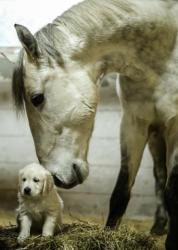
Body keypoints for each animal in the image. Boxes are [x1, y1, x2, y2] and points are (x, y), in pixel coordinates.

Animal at [12, 0, 178, 249]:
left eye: (37, 98)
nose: (57, 178)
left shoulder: (175, 127)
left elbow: (172, 191)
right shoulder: (134, 123)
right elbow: (121, 190)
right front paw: (108, 235)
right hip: (156, 134)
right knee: (159, 173)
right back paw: (158, 225)